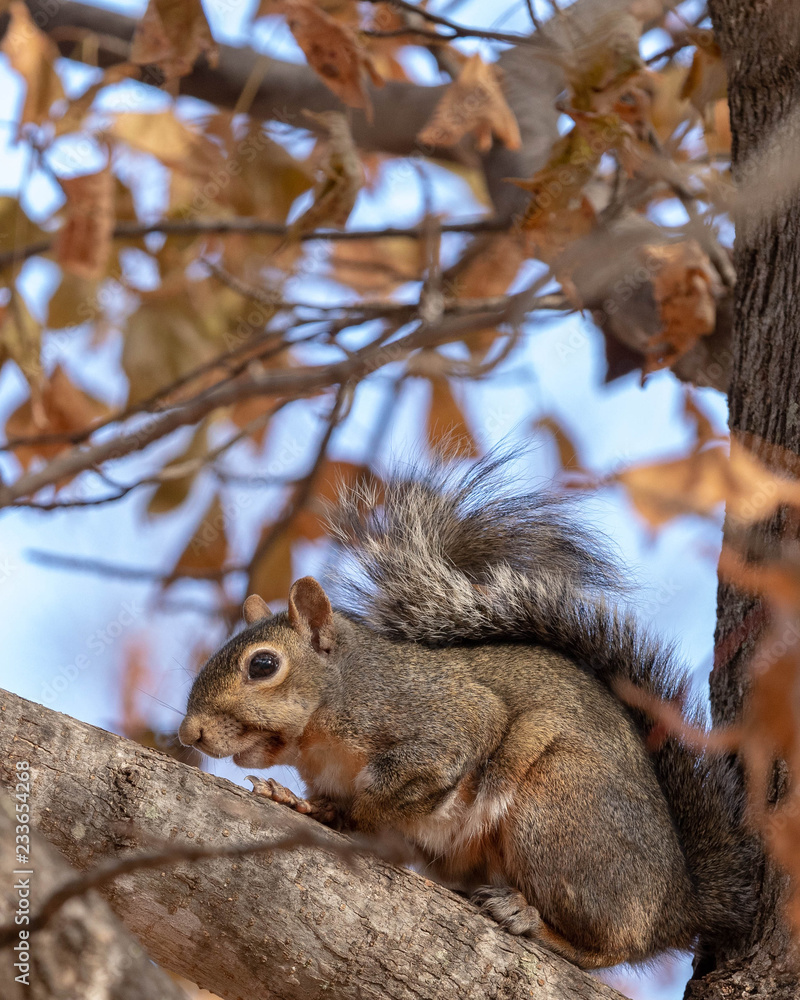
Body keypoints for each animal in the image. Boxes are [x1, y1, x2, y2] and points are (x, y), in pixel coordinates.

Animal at [178, 455, 760, 970]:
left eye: (263, 665)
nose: (189, 732)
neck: (325, 727)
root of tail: (681, 905)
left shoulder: (440, 715)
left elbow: (404, 781)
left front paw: (354, 807)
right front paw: (297, 802)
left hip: (557, 809)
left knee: (612, 945)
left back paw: (531, 919)